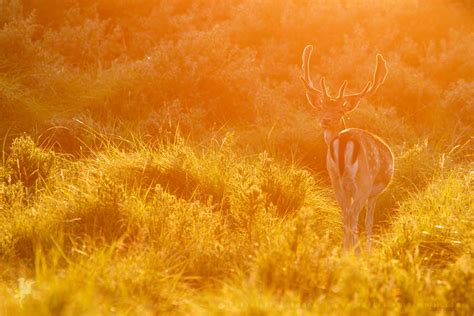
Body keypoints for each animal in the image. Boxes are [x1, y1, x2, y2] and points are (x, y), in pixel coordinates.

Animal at [302, 45, 394, 254]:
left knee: (345, 214)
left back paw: (345, 250)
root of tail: (343, 141)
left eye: (340, 110)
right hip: (362, 181)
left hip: (334, 179)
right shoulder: (374, 192)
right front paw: (368, 251)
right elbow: (369, 221)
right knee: (353, 215)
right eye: (322, 107)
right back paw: (353, 251)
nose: (325, 120)